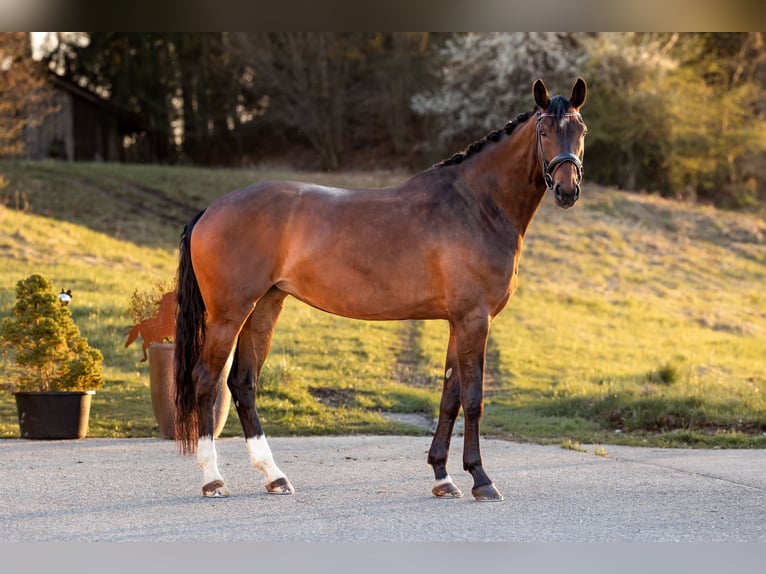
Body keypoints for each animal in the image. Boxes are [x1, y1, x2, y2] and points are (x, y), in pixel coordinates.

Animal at [174, 77, 588, 501]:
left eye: (581, 131)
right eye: (543, 131)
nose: (567, 190)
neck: (477, 205)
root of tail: (209, 211)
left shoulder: (458, 321)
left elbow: (449, 397)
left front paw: (443, 477)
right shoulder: (475, 319)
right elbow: (473, 399)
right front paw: (481, 479)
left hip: (264, 308)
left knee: (243, 383)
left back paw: (274, 476)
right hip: (229, 314)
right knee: (205, 381)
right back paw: (213, 479)